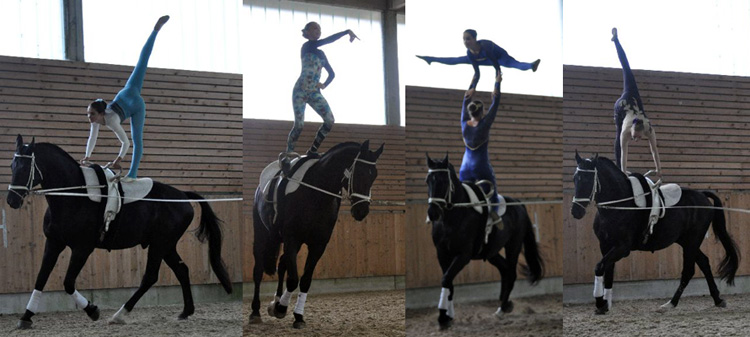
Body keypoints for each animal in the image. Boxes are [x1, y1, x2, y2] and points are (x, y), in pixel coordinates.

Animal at [6, 135, 232, 328]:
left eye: (25, 167)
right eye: (12, 166)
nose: (11, 200)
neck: (74, 195)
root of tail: (182, 196)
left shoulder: (82, 248)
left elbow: (68, 283)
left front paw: (93, 310)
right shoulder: (54, 243)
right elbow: (41, 278)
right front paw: (26, 317)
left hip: (160, 244)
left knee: (150, 277)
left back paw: (119, 315)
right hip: (166, 245)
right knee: (182, 270)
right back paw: (186, 311)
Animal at [250, 139, 384, 328]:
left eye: (374, 176)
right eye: (359, 173)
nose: (361, 211)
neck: (316, 194)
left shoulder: (318, 244)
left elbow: (305, 280)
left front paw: (297, 315)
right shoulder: (292, 239)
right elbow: (293, 279)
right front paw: (282, 308)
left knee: (282, 263)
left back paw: (275, 302)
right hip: (263, 234)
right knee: (258, 270)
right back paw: (255, 311)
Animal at [426, 154, 544, 330]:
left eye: (443, 181)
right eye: (428, 181)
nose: (433, 213)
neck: (453, 216)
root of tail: (517, 202)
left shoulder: (463, 255)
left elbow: (446, 279)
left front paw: (442, 317)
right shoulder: (442, 253)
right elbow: (449, 282)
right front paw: (449, 316)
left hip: (513, 245)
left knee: (511, 272)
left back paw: (502, 309)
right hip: (491, 252)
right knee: (505, 269)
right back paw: (505, 304)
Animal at [576, 151, 740, 314]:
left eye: (587, 180)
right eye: (574, 179)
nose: (575, 211)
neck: (618, 205)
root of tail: (702, 195)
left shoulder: (622, 248)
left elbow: (599, 267)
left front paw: (599, 302)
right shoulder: (605, 246)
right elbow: (608, 272)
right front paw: (605, 304)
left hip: (692, 240)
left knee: (689, 270)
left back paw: (672, 303)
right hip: (686, 241)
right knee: (704, 262)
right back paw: (717, 299)